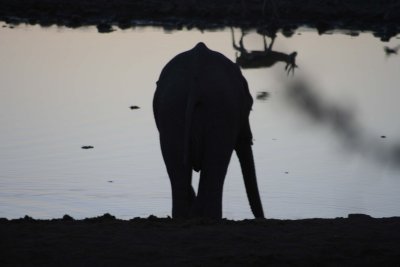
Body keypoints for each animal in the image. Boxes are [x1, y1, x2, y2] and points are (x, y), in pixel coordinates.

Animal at [154, 42, 266, 220]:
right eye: (250, 107)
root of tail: (196, 84)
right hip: (220, 110)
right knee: (215, 168)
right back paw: (207, 217)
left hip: (172, 107)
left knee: (178, 168)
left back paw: (187, 216)